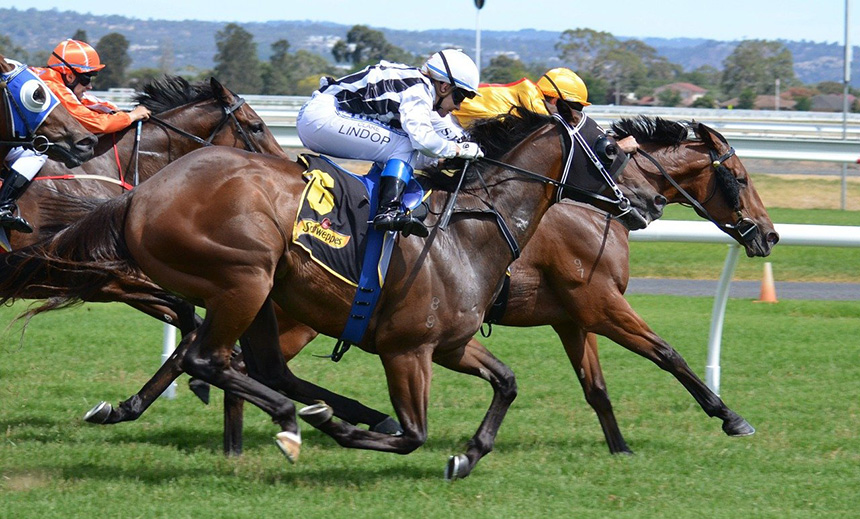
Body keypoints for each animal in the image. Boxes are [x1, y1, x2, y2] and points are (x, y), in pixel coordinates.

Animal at [0, 107, 660, 482]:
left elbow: (507, 382)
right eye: (608, 149)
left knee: (245, 362)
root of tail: (139, 194)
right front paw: (352, 432)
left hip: (257, 295)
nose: (646, 202)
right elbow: (415, 433)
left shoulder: (449, 345)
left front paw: (468, 455)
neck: (469, 229)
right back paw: (298, 421)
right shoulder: (407, 350)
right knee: (208, 357)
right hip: (245, 278)